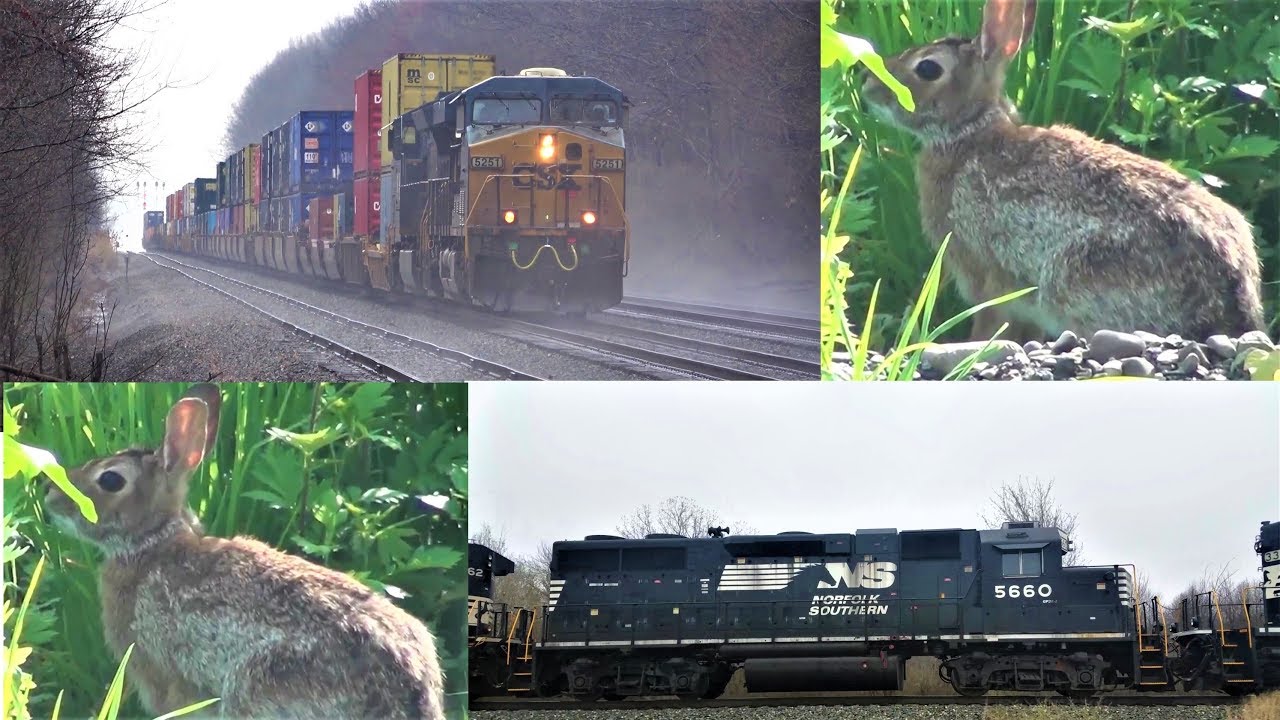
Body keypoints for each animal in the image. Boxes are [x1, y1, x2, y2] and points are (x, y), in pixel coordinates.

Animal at [860, 0, 1264, 342]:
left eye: (928, 68)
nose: (868, 87)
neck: (969, 130)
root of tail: (1227, 298)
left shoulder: (984, 272)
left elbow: (990, 323)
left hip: (1075, 279)